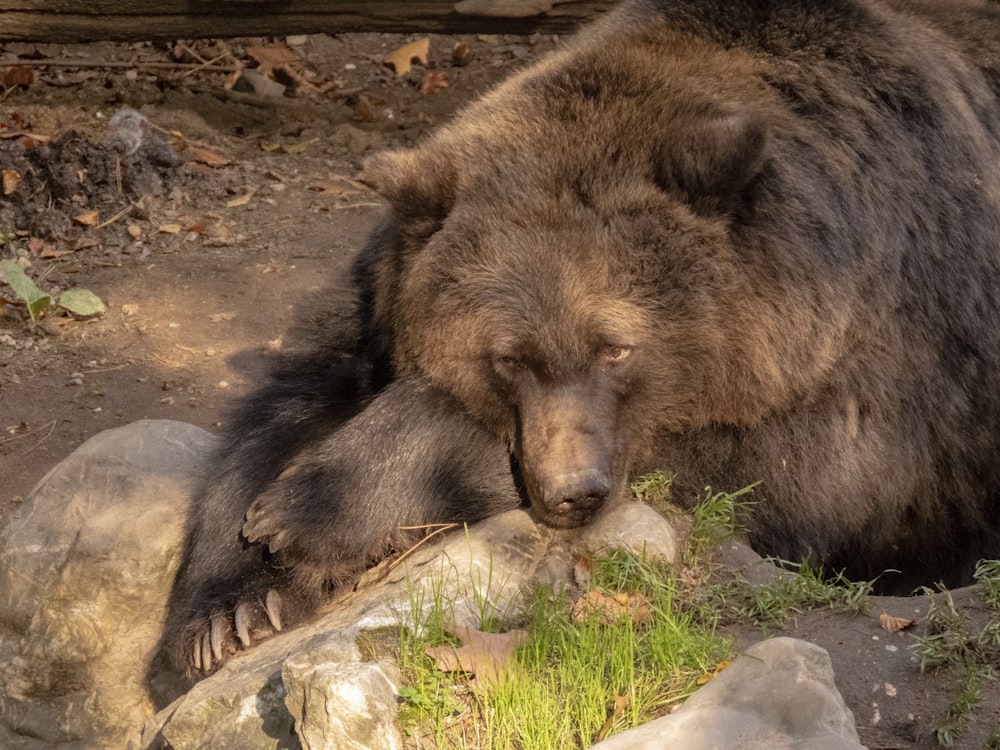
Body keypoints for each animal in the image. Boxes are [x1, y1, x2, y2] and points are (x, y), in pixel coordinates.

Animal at [158, 0, 1000, 680]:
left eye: (617, 347)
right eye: (507, 358)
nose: (576, 492)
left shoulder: (878, 358)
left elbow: (788, 473)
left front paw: (308, 510)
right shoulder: (381, 303)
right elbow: (295, 398)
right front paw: (231, 607)